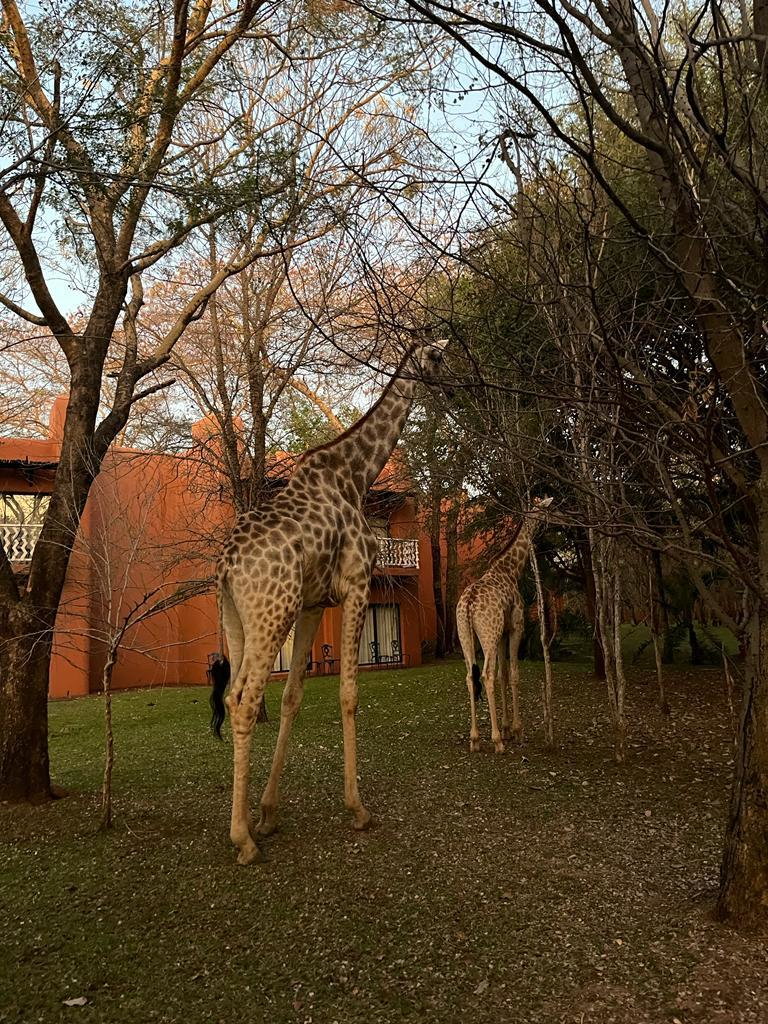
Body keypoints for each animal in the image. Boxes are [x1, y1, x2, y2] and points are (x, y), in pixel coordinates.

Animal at [210, 337, 450, 864]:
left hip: (237, 619)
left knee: (237, 695)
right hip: (270, 613)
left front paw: (269, 812)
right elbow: (348, 694)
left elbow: (293, 697)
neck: (355, 476)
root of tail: (227, 567)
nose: (448, 391)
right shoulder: (357, 584)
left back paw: (247, 826)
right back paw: (242, 840)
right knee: (245, 700)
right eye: (439, 357)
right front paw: (358, 809)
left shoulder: (314, 604)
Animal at [456, 495, 552, 753]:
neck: (511, 570)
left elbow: (503, 675)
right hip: (487, 635)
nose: (557, 519)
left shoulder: (502, 633)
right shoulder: (516, 627)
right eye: (548, 510)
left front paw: (508, 727)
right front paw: (516, 731)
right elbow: (514, 674)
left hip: (466, 635)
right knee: (486, 675)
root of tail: (469, 603)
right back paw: (496, 740)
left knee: (470, 677)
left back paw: (475, 739)